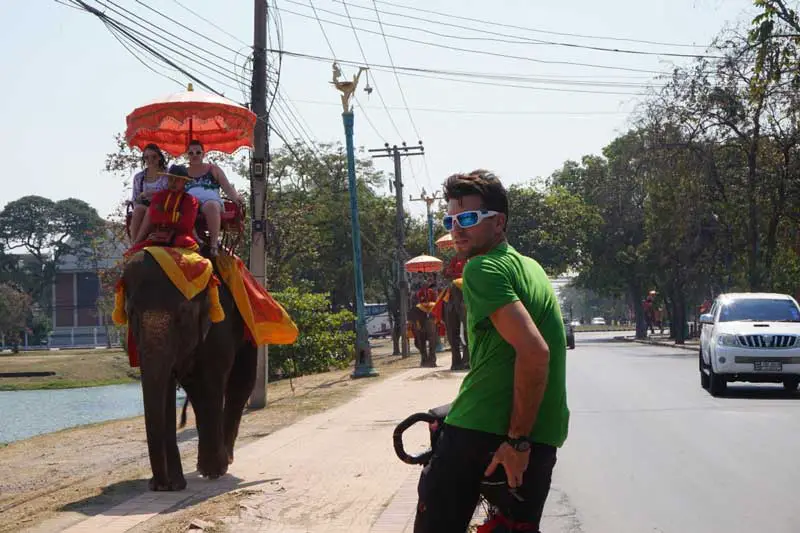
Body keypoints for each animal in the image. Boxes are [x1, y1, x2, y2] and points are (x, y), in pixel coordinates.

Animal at [122, 251, 256, 492]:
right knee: (196, 392)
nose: (159, 484)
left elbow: (213, 379)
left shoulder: (220, 326)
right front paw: (173, 485)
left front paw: (214, 471)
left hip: (247, 327)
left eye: (182, 314)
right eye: (131, 313)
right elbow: (165, 385)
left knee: (240, 383)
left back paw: (223, 461)